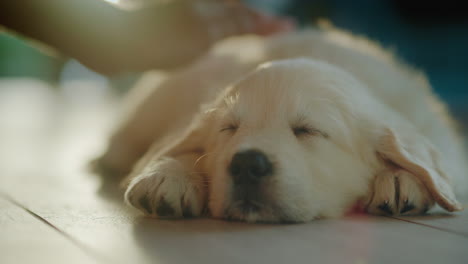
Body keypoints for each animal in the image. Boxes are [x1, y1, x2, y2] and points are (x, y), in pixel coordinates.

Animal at [96, 28, 468, 223]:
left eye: (308, 130)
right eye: (229, 128)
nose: (247, 164)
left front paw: (400, 179)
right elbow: (180, 145)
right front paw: (168, 176)